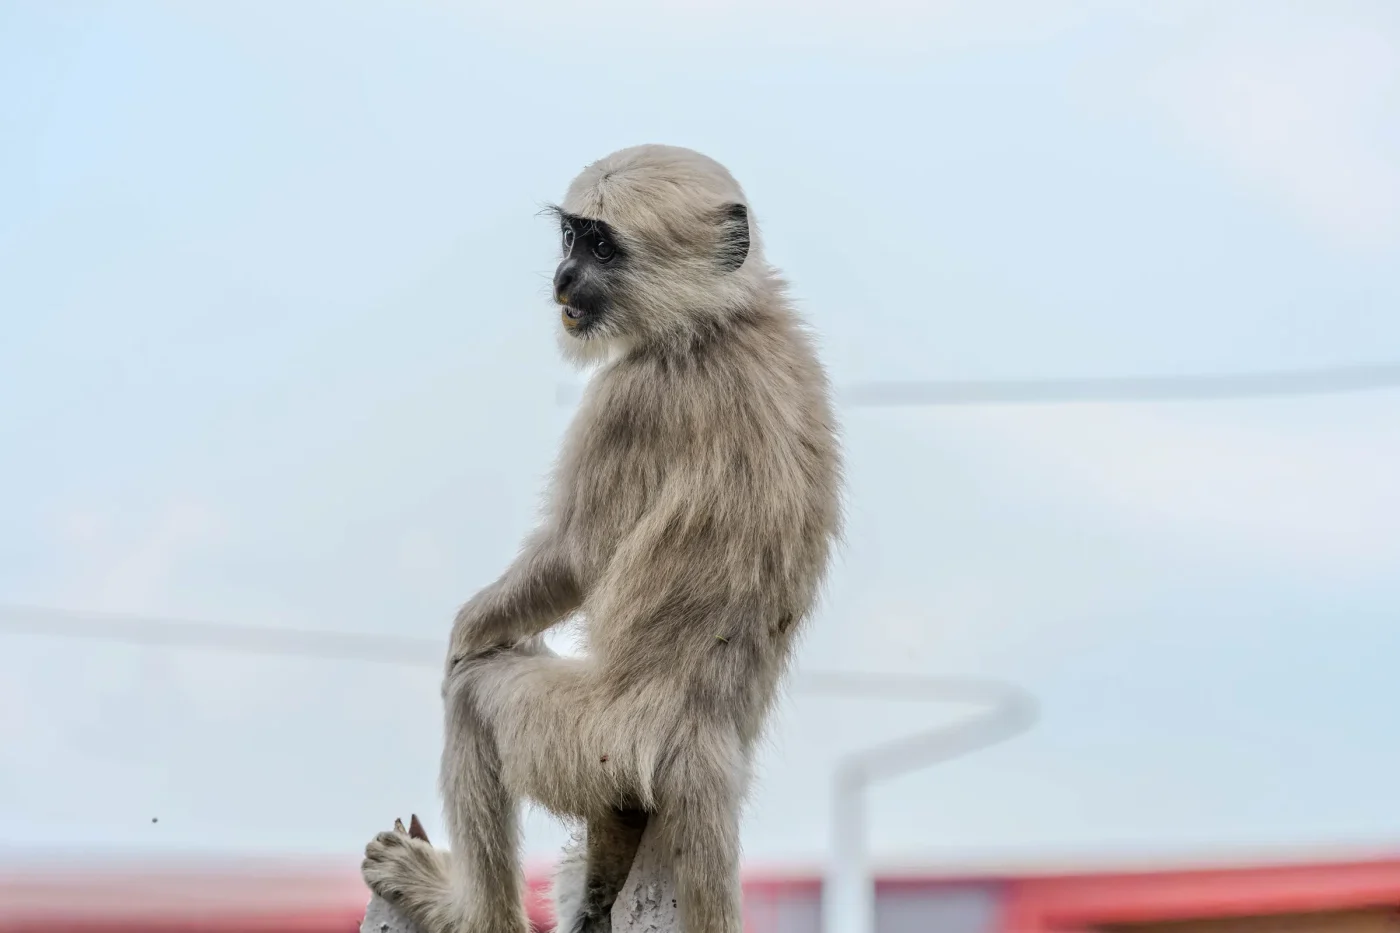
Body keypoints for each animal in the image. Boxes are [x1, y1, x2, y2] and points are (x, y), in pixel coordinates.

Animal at [361, 144, 843, 933]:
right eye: (570, 238)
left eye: (601, 247)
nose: (562, 277)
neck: (723, 321)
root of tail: (704, 747)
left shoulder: (632, 397)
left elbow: (572, 560)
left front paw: (461, 638)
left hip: (591, 746)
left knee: (476, 697)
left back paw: (464, 909)